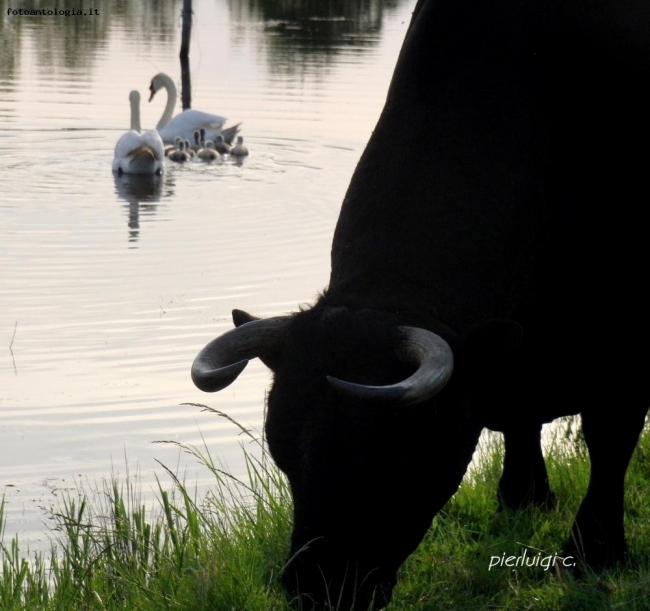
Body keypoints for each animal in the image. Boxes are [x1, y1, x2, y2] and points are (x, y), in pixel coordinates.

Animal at [191, 1, 648, 608]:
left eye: (394, 453)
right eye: (282, 453)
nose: (318, 589)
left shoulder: (626, 344)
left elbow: (609, 438)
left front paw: (592, 552)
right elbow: (520, 425)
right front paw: (522, 498)